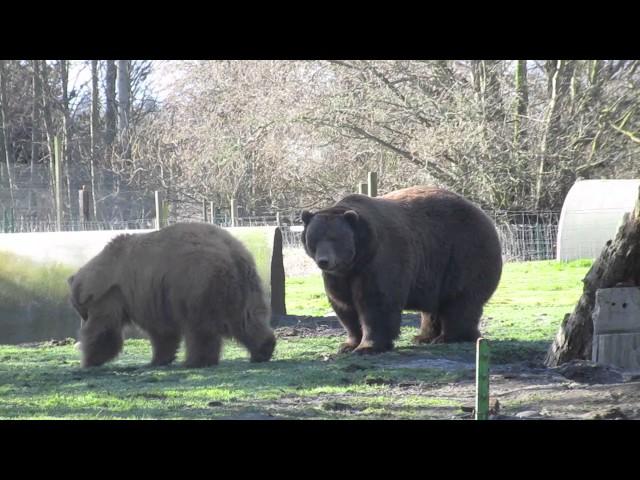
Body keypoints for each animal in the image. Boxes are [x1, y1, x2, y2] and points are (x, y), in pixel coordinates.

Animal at [67, 223, 276, 370]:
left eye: (81, 310)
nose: (81, 323)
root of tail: (231, 252)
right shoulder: (149, 294)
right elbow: (163, 331)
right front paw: (159, 359)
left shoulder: (119, 294)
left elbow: (106, 329)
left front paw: (88, 359)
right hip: (245, 285)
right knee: (247, 319)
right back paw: (263, 349)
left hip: (196, 284)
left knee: (200, 328)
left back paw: (196, 361)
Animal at [302, 186, 502, 354]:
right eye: (314, 238)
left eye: (335, 238)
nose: (324, 261)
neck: (357, 258)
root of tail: (484, 215)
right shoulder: (340, 277)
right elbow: (344, 306)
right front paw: (348, 344)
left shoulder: (380, 261)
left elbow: (376, 302)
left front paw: (368, 347)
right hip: (435, 271)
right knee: (433, 307)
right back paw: (423, 337)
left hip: (463, 253)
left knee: (460, 300)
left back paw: (449, 337)